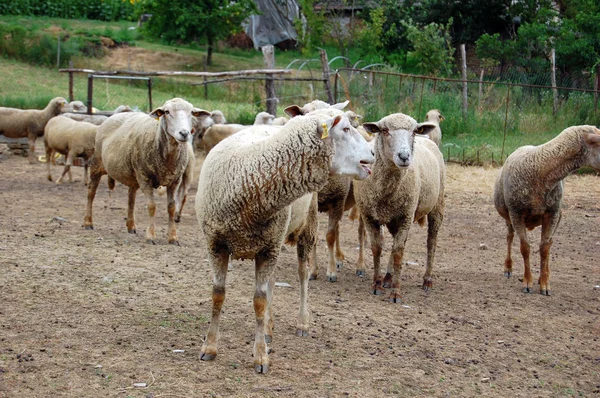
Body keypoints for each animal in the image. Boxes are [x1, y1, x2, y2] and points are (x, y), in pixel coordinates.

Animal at [82, 98, 209, 244]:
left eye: (192, 112)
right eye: (167, 112)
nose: (184, 133)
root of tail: (113, 116)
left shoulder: (174, 181)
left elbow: (171, 208)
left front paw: (173, 237)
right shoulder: (145, 178)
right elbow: (151, 206)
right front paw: (150, 236)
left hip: (133, 175)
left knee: (131, 199)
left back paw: (131, 226)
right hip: (97, 164)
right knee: (91, 193)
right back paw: (88, 222)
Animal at [197, 110, 376, 372]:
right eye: (345, 129)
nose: (373, 152)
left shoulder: (268, 249)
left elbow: (259, 301)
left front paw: (261, 356)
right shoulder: (216, 244)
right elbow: (218, 295)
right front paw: (209, 347)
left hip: (306, 228)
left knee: (302, 275)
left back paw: (302, 322)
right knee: (272, 282)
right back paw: (268, 327)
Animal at [352, 112, 446, 302]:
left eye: (413, 132)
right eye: (384, 130)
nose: (404, 156)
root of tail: (428, 140)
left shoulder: (406, 216)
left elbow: (398, 252)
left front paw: (396, 291)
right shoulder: (369, 215)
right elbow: (377, 248)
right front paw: (376, 284)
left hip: (436, 206)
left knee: (431, 242)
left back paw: (427, 280)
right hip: (397, 216)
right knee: (398, 241)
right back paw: (387, 277)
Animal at [492, 124, 600, 296]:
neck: (541, 170)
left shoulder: (552, 213)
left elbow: (544, 249)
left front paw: (544, 284)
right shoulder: (516, 213)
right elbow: (525, 248)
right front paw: (527, 282)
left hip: (557, 215)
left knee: (549, 243)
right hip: (508, 215)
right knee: (509, 237)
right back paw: (508, 268)